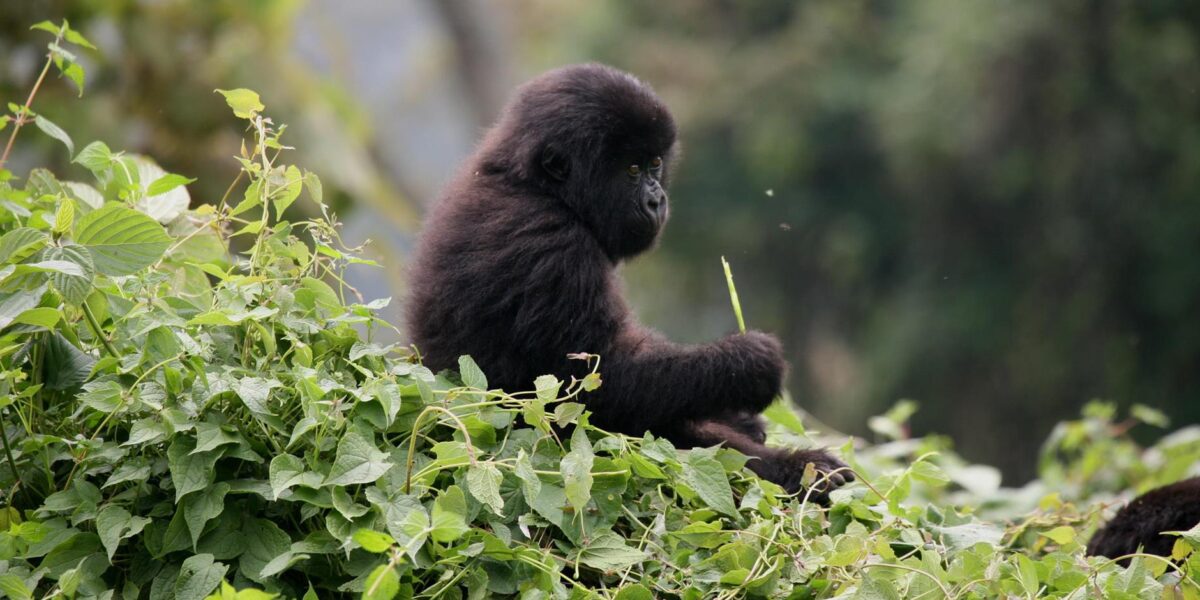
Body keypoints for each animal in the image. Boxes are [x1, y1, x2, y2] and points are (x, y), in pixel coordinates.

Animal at [408, 63, 849, 499]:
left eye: (655, 164)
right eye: (632, 170)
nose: (656, 200)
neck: (534, 185)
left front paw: (742, 414)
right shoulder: (552, 247)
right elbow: (603, 386)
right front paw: (749, 364)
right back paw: (801, 470)